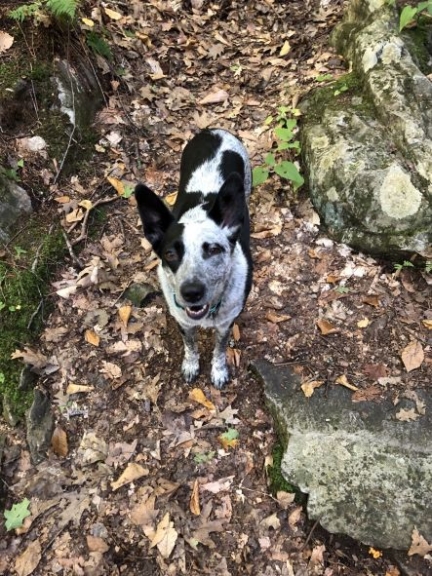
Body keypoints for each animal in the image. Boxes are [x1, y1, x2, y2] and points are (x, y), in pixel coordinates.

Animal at [135, 127, 253, 388]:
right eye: (170, 253)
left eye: (214, 249)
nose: (191, 293)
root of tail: (215, 130)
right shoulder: (184, 321)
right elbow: (190, 345)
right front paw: (191, 365)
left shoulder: (226, 323)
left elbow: (220, 350)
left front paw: (218, 370)